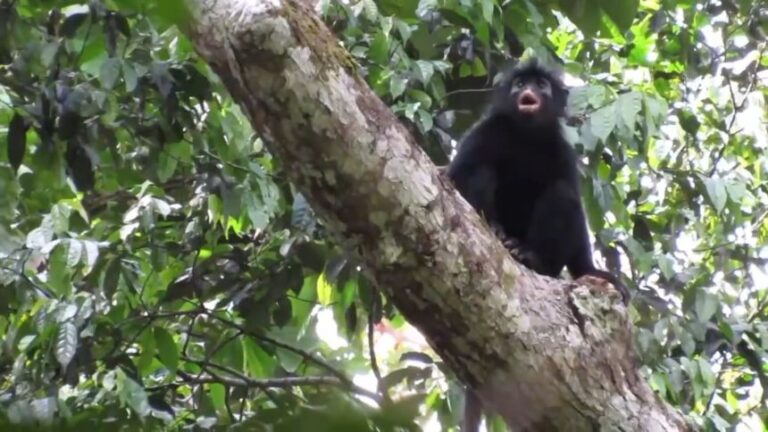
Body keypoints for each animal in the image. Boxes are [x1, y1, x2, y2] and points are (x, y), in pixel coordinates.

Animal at [447, 59, 629, 431]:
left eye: (541, 85)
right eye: (519, 84)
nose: (528, 91)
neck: (526, 136)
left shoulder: (561, 149)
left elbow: (572, 203)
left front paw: (592, 271)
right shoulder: (486, 132)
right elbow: (454, 176)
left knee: (561, 194)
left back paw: (530, 258)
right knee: (481, 171)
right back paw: (499, 234)